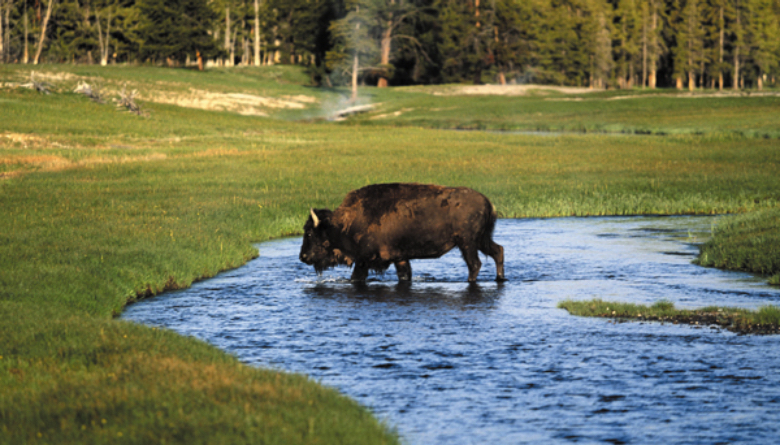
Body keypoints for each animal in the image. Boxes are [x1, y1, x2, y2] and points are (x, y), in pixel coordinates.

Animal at [298, 183, 506, 280]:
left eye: (309, 233)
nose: (303, 256)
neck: (343, 224)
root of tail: (487, 202)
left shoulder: (363, 260)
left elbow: (356, 277)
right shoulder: (400, 258)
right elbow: (405, 275)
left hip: (467, 243)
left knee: (475, 264)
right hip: (481, 240)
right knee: (498, 251)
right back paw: (500, 278)